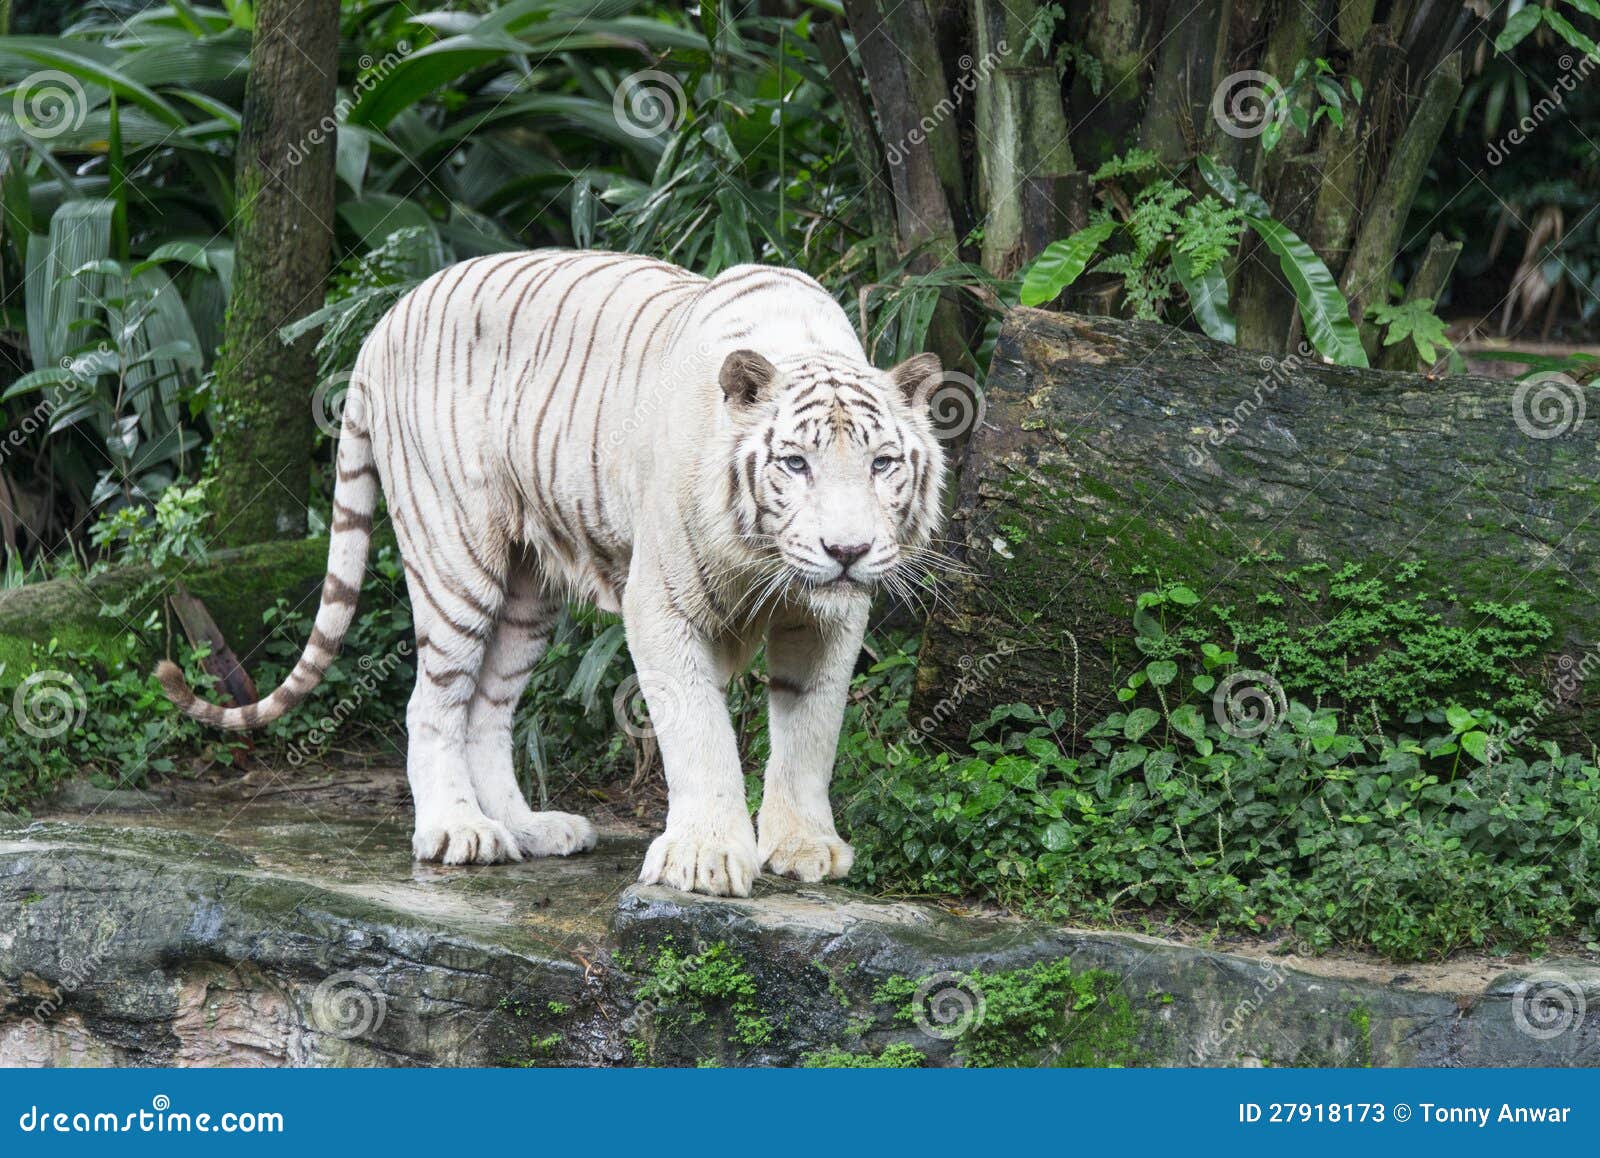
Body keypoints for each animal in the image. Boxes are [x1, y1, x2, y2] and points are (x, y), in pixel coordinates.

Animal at [157, 249, 940, 902]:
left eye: (882, 464)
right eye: (795, 463)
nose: (847, 550)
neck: (769, 564)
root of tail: (383, 320)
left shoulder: (830, 617)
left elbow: (812, 729)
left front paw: (805, 847)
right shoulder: (661, 604)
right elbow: (699, 731)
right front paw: (706, 859)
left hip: (527, 593)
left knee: (486, 711)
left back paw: (528, 829)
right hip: (454, 558)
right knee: (432, 703)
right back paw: (457, 831)